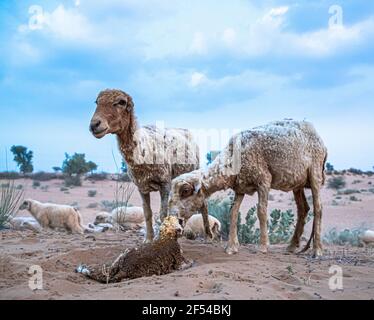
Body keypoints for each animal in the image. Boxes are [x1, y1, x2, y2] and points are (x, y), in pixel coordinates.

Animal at [89, 89, 200, 241]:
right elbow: (147, 213)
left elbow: (163, 214)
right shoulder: (141, 186)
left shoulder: (165, 183)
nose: (94, 125)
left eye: (121, 102)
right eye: (96, 102)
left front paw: (160, 239)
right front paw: (148, 239)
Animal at [169, 120, 328, 258]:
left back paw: (317, 250)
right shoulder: (240, 187)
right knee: (303, 209)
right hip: (297, 182)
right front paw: (231, 247)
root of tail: (320, 139)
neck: (233, 155)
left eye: (185, 191)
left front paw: (263, 246)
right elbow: (233, 213)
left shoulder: (264, 180)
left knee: (318, 208)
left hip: (315, 172)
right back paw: (292, 246)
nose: (174, 218)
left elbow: (261, 212)